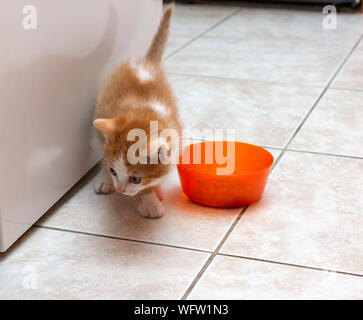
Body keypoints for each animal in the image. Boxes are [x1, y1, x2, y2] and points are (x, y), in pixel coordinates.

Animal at [92, 5, 181, 219]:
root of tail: (144, 61)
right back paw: (103, 180)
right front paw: (149, 202)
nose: (120, 190)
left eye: (135, 179)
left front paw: (151, 193)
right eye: (114, 171)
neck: (146, 112)